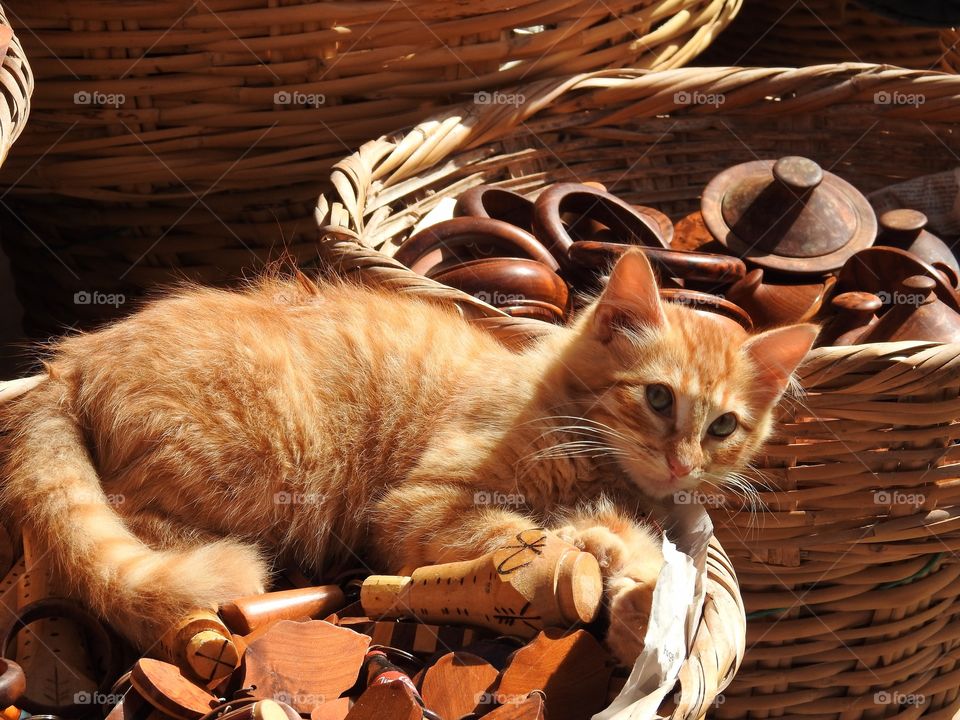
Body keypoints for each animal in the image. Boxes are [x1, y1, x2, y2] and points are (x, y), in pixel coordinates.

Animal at [0, 252, 816, 664]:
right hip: (257, 465)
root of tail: (73, 358)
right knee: (140, 537)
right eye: (657, 398)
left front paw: (637, 602)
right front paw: (588, 551)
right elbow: (521, 539)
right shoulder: (418, 509)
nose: (683, 463)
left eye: (725, 425)